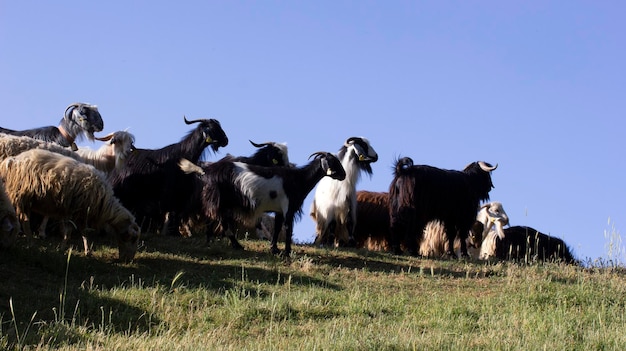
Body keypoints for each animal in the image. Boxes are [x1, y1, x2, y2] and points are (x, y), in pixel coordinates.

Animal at [179, 151, 346, 256]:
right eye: (333, 162)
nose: (344, 175)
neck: (298, 179)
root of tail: (207, 170)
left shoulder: (279, 210)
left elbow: (277, 229)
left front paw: (274, 249)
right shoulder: (288, 207)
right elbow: (288, 229)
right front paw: (287, 252)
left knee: (213, 218)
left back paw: (210, 241)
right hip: (221, 199)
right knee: (222, 221)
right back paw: (236, 245)